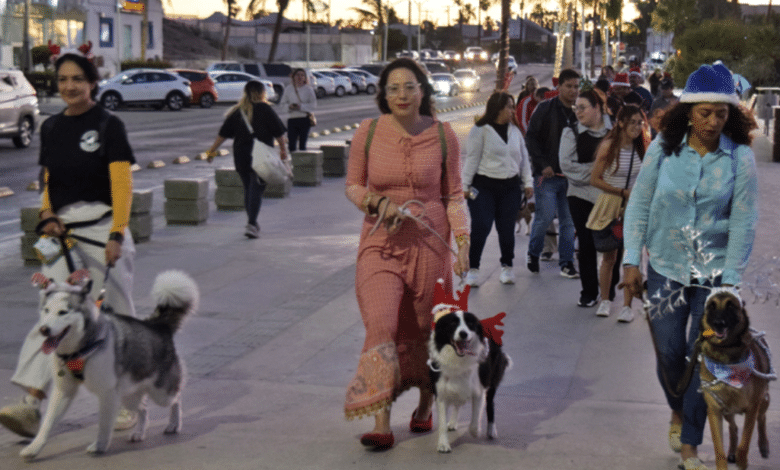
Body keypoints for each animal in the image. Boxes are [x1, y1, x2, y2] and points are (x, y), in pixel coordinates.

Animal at [21, 270, 200, 458]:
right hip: (129, 395)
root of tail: (157, 325)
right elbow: (47, 423)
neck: (79, 349)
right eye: (46, 310)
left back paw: (174, 423)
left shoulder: (107, 393)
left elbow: (104, 424)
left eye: (63, 312)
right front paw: (34, 448)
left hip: (161, 393)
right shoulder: (63, 391)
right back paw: (139, 432)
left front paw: (99, 445)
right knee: (143, 409)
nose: (43, 330)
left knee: (176, 399)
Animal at [676, 290, 772, 470]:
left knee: (761, 419)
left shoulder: (751, 409)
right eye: (711, 307)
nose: (718, 323)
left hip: (764, 400)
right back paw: (732, 451)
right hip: (728, 411)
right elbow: (719, 449)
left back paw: (763, 446)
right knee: (734, 428)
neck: (725, 355)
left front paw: (742, 460)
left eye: (731, 306)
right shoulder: (715, 410)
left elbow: (745, 443)